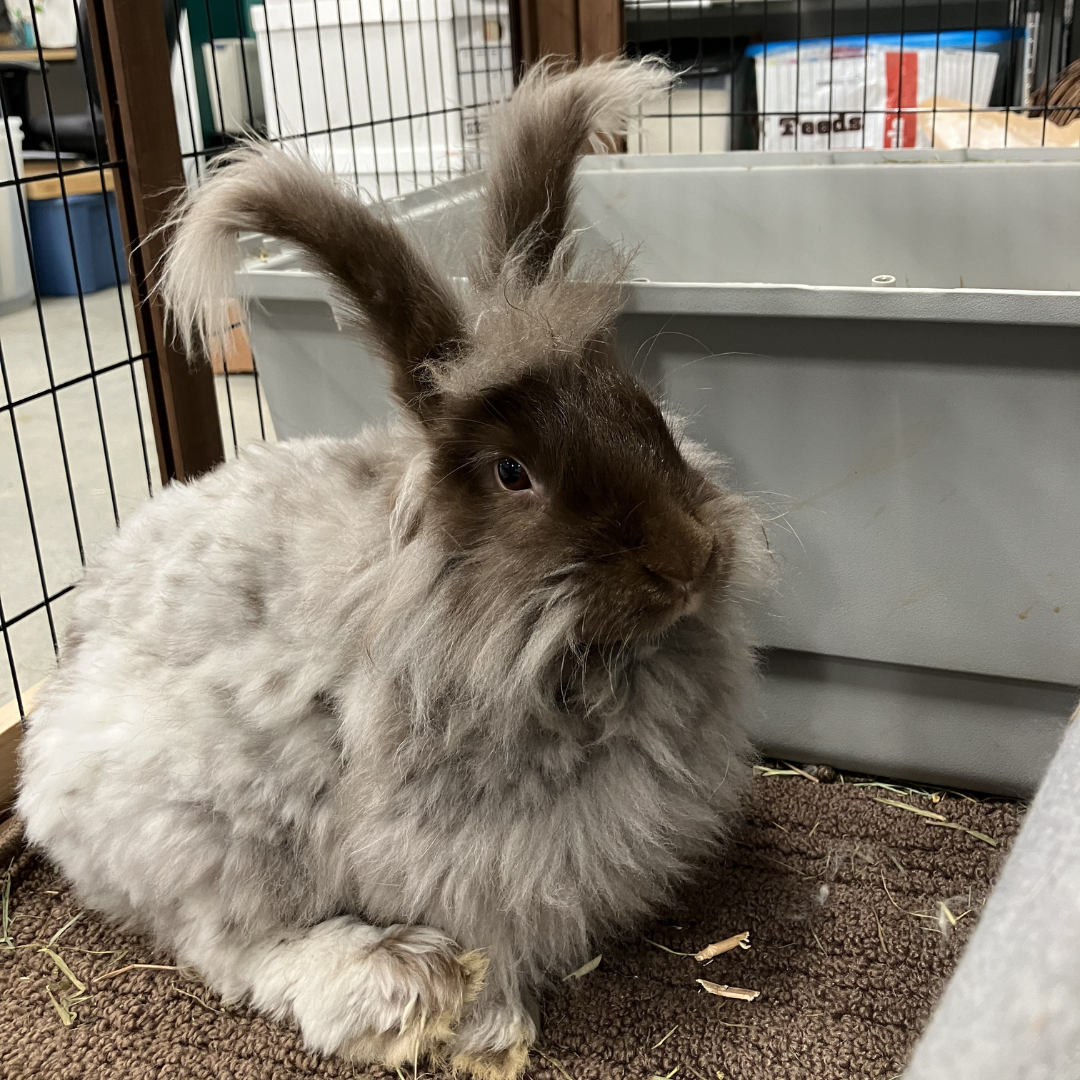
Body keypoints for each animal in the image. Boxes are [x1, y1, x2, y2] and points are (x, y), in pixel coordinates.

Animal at [14, 56, 768, 1080]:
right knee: (235, 947)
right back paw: (396, 988)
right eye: (512, 472)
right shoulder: (470, 862)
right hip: (207, 832)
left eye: (639, 407)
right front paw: (490, 1032)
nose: (691, 562)